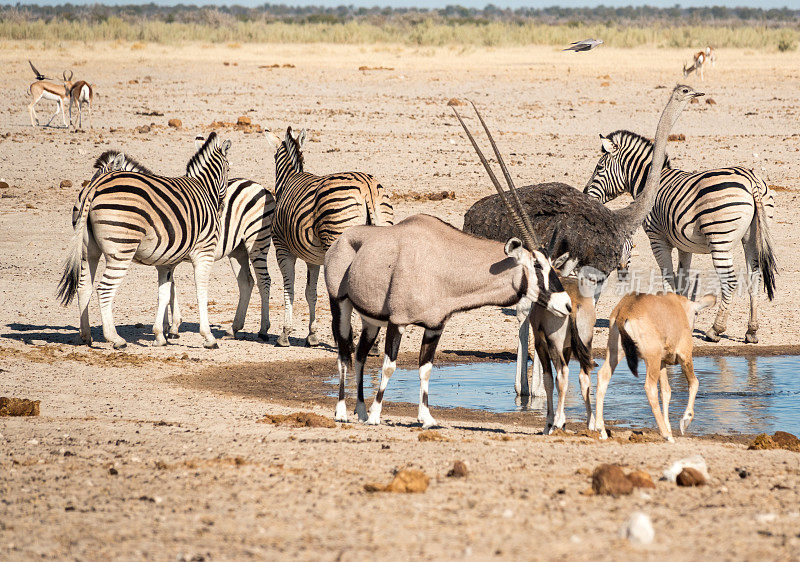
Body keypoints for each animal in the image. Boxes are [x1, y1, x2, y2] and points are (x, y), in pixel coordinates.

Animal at [55, 133, 231, 348]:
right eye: (228, 169)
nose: (222, 207)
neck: (203, 187)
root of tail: (93, 190)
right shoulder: (204, 252)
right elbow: (200, 292)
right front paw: (207, 337)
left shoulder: (167, 261)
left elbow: (164, 293)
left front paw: (161, 334)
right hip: (121, 251)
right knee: (104, 290)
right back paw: (115, 338)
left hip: (89, 251)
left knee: (84, 287)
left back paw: (86, 336)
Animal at [74, 140, 276, 342]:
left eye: (100, 179)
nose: (81, 204)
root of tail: (256, 184)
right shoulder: (167, 258)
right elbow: (170, 290)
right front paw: (169, 327)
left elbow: (168, 290)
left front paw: (169, 327)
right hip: (237, 250)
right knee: (246, 282)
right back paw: (233, 328)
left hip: (257, 242)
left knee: (264, 280)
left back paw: (263, 329)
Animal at [266, 127, 394, 346]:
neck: (290, 178)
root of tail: (367, 187)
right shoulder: (313, 259)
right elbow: (310, 293)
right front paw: (312, 335)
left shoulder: (282, 249)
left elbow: (289, 289)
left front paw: (285, 333)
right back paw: (375, 344)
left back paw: (346, 337)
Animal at [584, 129, 780, 342]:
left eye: (599, 167)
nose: (585, 195)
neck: (649, 183)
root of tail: (751, 180)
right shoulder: (684, 245)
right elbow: (683, 280)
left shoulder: (657, 239)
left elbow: (668, 276)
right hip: (752, 238)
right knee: (754, 278)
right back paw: (751, 331)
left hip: (719, 239)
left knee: (729, 281)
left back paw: (715, 330)